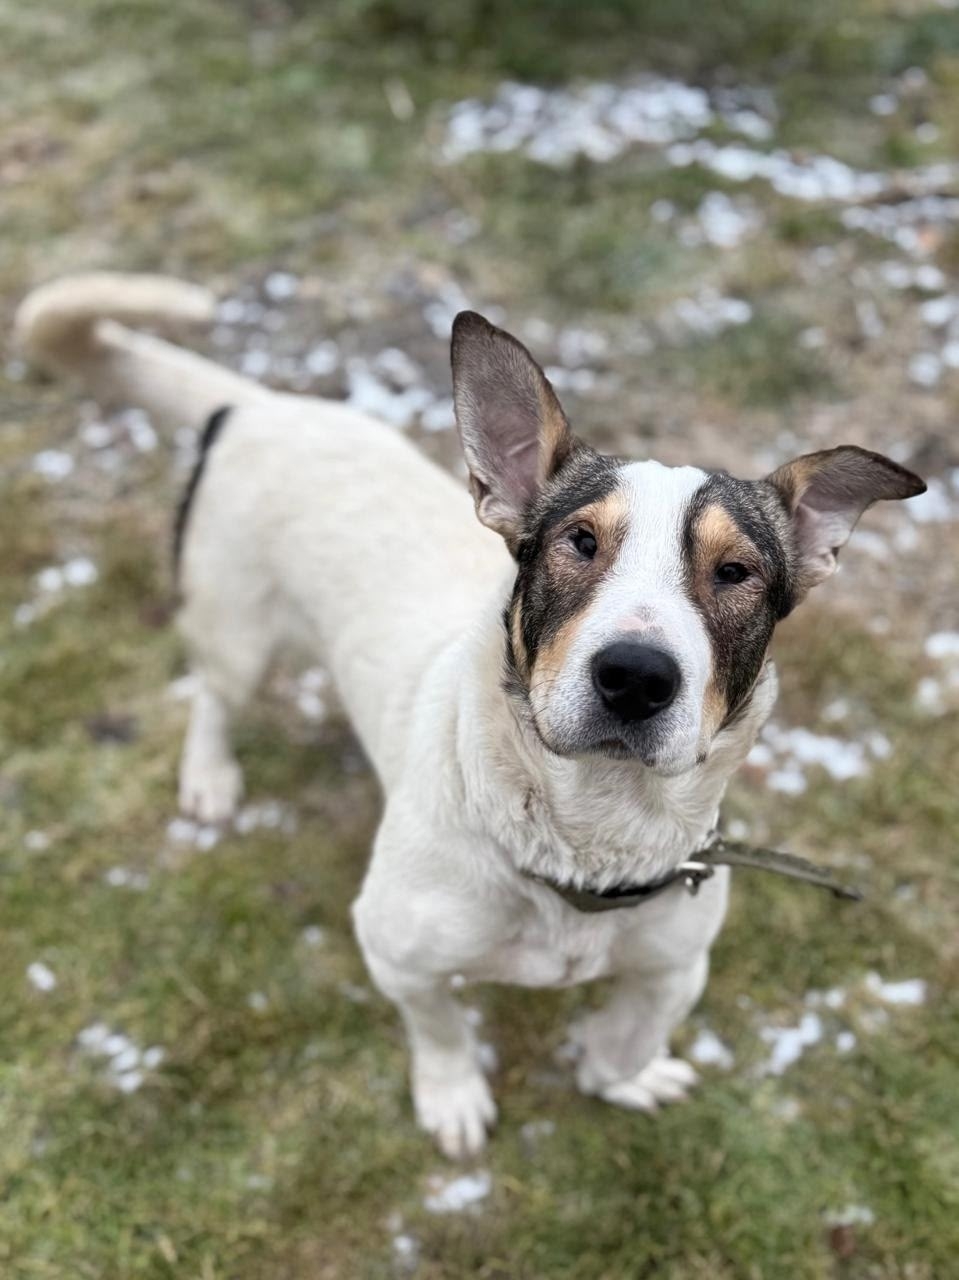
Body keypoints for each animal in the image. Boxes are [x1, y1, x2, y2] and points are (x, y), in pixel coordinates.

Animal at [17, 273, 925, 1158]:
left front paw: (621, 1077)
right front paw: (452, 1097)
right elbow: (441, 1026)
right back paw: (209, 775)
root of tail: (260, 406)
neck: (584, 843)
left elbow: (629, 1032)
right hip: (235, 627)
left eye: (735, 571)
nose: (634, 678)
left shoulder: (676, 962)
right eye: (579, 542)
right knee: (212, 693)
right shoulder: (395, 953)